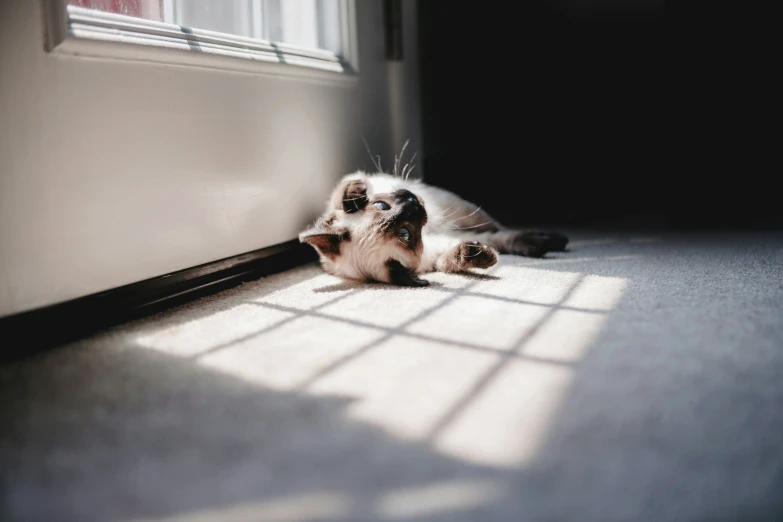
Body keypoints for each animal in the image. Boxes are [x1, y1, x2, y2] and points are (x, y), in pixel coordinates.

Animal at [300, 170, 568, 284]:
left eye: (380, 205)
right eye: (405, 234)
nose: (413, 202)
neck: (430, 236)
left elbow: (342, 193)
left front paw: (355, 193)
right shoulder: (437, 254)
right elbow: (450, 260)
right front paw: (476, 256)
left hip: (465, 209)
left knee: (499, 227)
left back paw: (557, 241)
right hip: (469, 226)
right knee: (498, 238)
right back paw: (544, 243)